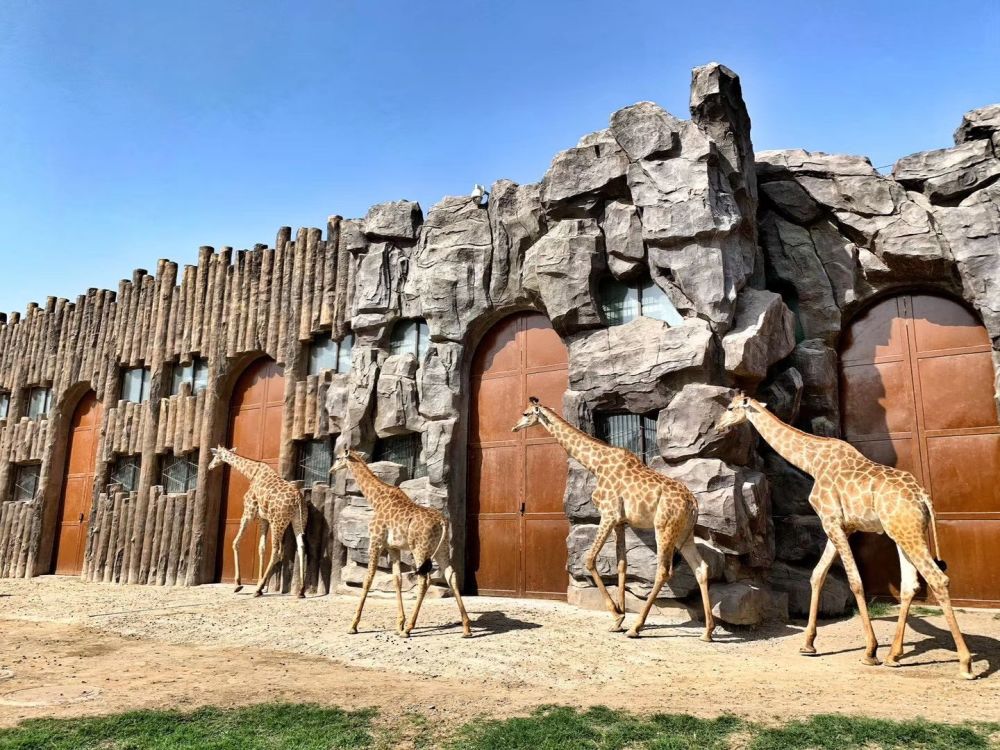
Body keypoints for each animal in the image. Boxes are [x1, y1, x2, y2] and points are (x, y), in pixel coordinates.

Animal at [208, 446, 308, 600]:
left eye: (215, 456)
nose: (209, 466)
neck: (252, 474)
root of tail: (298, 497)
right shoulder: (263, 518)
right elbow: (261, 548)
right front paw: (259, 582)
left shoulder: (248, 512)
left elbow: (235, 542)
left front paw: (238, 584)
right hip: (298, 521)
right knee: (301, 547)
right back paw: (301, 591)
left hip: (278, 522)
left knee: (277, 551)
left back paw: (258, 589)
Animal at [328, 450, 468, 636]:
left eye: (338, 458)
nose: (331, 470)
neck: (376, 499)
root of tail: (442, 522)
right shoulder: (393, 547)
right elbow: (397, 579)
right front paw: (398, 624)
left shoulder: (375, 541)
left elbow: (368, 579)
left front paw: (353, 625)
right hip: (442, 548)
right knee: (451, 575)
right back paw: (466, 628)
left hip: (420, 549)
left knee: (424, 580)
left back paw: (409, 629)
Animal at [512, 396, 716, 644]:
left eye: (525, 413)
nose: (514, 427)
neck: (595, 463)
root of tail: (693, 504)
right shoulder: (621, 522)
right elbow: (621, 564)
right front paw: (619, 615)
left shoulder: (608, 514)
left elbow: (590, 559)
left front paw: (617, 616)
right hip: (684, 534)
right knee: (701, 568)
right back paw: (707, 632)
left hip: (664, 527)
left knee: (664, 570)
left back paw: (636, 628)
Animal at [716, 394, 972, 680]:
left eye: (730, 408)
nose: (717, 425)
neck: (813, 462)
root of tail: (923, 497)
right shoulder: (842, 526)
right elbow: (817, 574)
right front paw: (808, 644)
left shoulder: (831, 521)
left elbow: (855, 581)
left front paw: (870, 651)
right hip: (902, 532)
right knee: (910, 584)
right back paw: (894, 656)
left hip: (908, 532)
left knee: (938, 579)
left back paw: (965, 664)